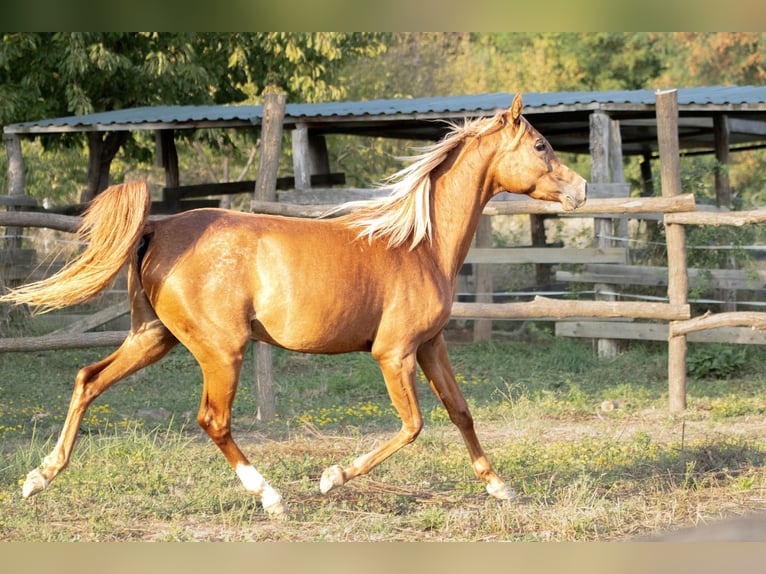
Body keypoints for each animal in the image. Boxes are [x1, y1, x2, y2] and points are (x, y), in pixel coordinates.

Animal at [1, 94, 586, 516]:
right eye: (540, 146)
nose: (580, 190)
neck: (419, 245)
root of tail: (158, 227)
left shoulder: (431, 345)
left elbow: (461, 411)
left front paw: (500, 487)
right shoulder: (393, 353)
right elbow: (413, 424)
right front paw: (332, 477)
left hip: (153, 337)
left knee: (88, 380)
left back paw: (38, 478)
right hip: (221, 350)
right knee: (213, 420)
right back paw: (271, 496)